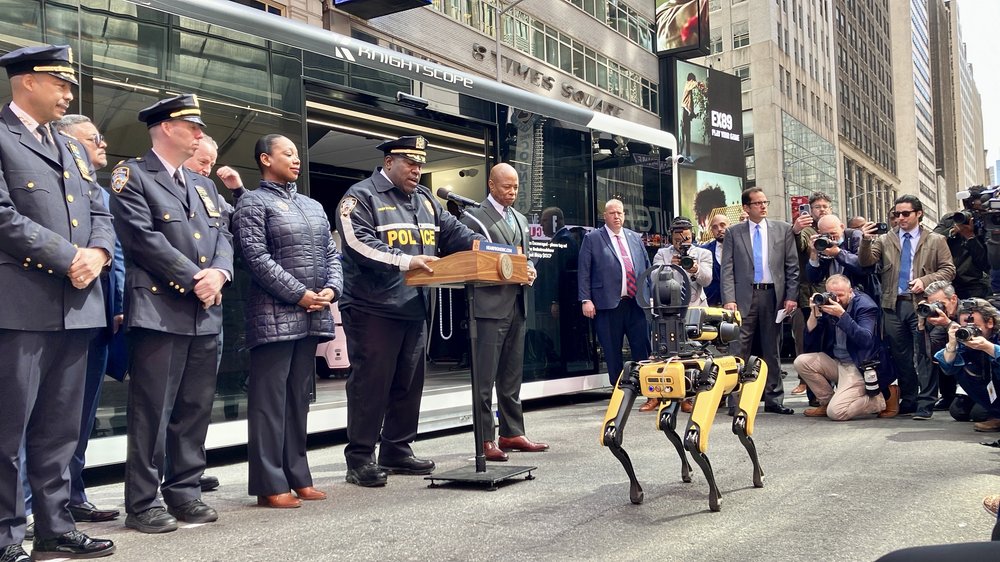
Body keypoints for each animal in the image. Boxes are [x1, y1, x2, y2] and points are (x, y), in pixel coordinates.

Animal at [596, 262, 768, 508]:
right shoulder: (631, 375)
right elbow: (613, 435)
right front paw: (636, 492)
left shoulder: (709, 374)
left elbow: (694, 438)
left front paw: (715, 497)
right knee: (665, 423)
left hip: (741, 370)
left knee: (741, 417)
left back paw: (757, 475)